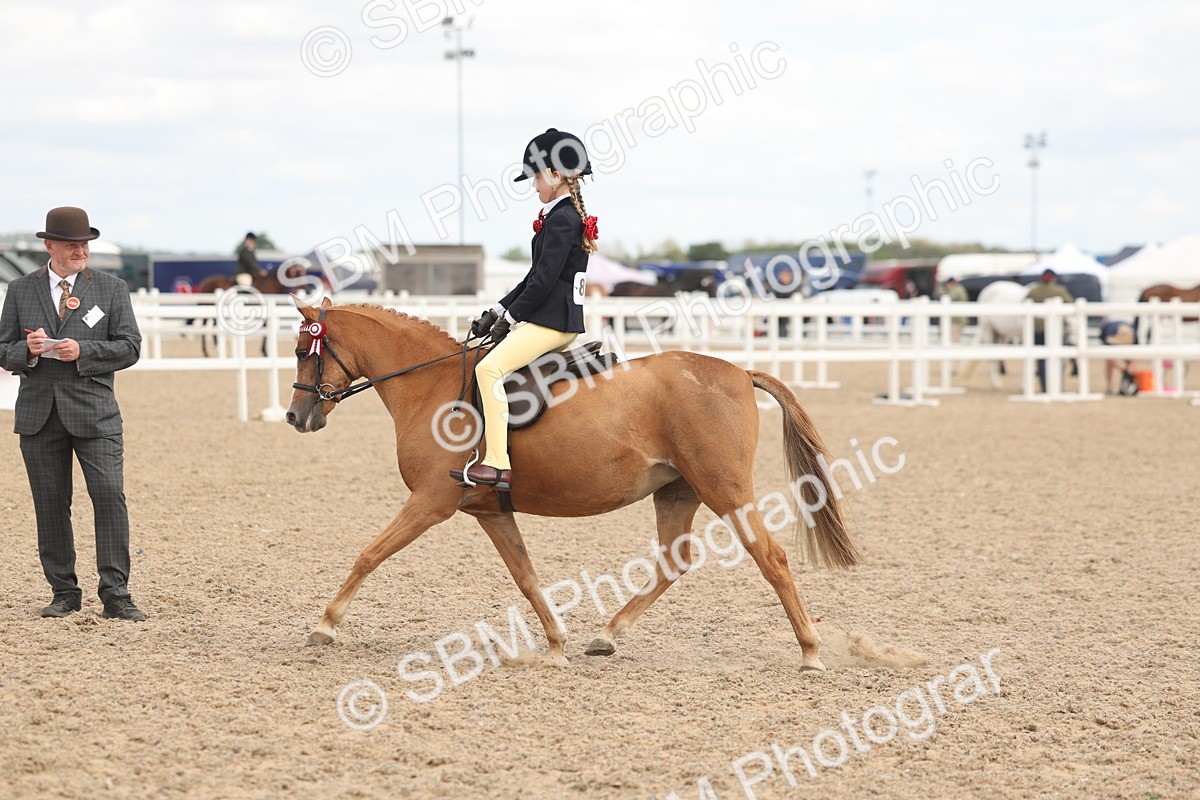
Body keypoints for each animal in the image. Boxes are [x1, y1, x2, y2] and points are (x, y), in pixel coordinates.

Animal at [285, 298, 860, 671]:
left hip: (725, 490)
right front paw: (557, 643)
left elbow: (369, 554)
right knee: (673, 562)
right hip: (677, 491)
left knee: (771, 558)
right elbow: (526, 577)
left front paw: (325, 626)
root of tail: (739, 372)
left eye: (302, 351)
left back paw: (810, 652)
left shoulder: (431, 502)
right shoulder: (491, 510)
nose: (295, 417)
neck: (434, 387)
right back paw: (606, 636)